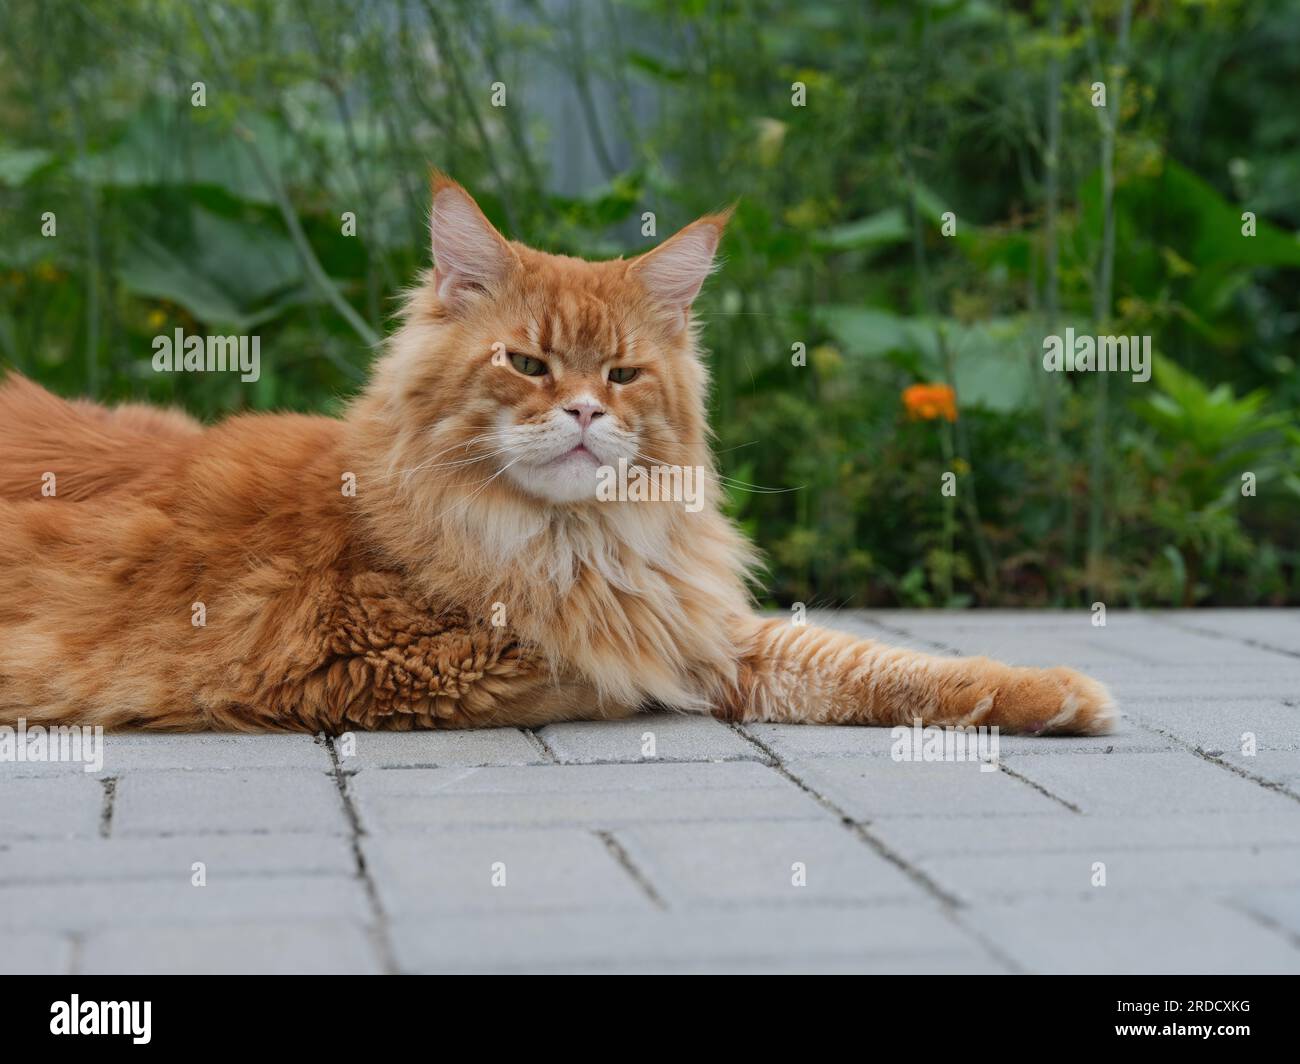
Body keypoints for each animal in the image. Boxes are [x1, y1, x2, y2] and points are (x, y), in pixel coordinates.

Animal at [0, 178, 1118, 733]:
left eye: (621, 374)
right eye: (529, 363)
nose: (582, 410)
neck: (573, 538)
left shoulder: (695, 622)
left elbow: (865, 660)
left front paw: (1048, 693)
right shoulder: (398, 668)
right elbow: (620, 675)